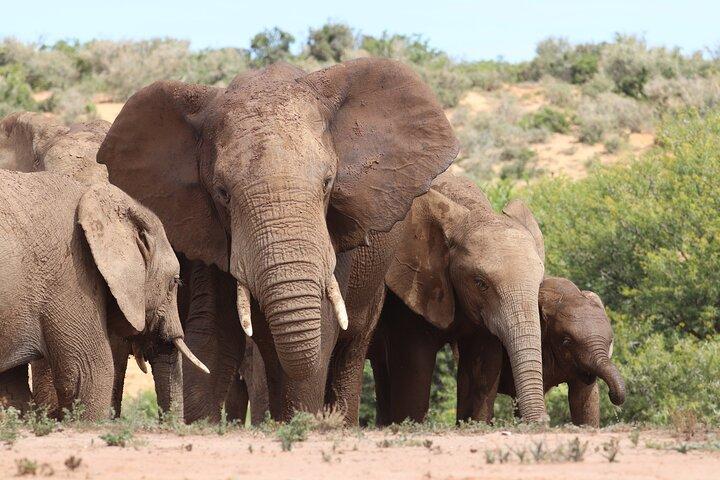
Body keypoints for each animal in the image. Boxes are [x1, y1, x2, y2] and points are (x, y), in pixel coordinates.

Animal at [97, 58, 458, 422]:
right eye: (222, 193)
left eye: (328, 183)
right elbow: (214, 332)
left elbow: (323, 330)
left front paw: (301, 423)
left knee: (349, 350)